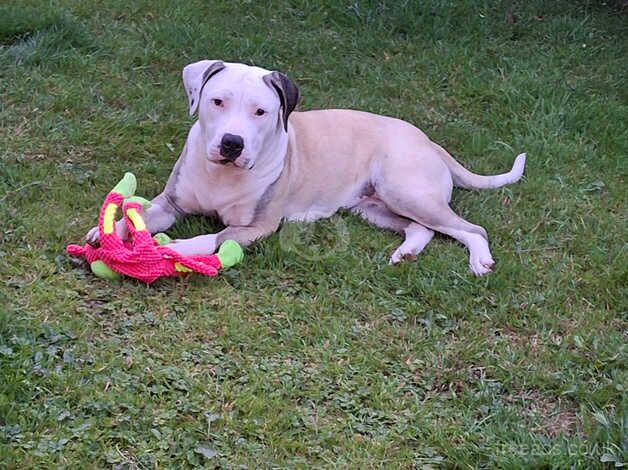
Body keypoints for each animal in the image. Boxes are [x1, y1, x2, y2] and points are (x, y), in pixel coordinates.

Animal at [86, 59, 524, 276]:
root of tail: (429, 141)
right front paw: (108, 232)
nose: (232, 143)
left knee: (470, 229)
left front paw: (172, 250)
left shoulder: (256, 227)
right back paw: (406, 254)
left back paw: (479, 261)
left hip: (406, 191)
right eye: (217, 101)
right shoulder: (172, 203)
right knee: (422, 229)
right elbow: (141, 215)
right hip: (374, 207)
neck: (222, 175)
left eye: (261, 111)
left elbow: (210, 239)